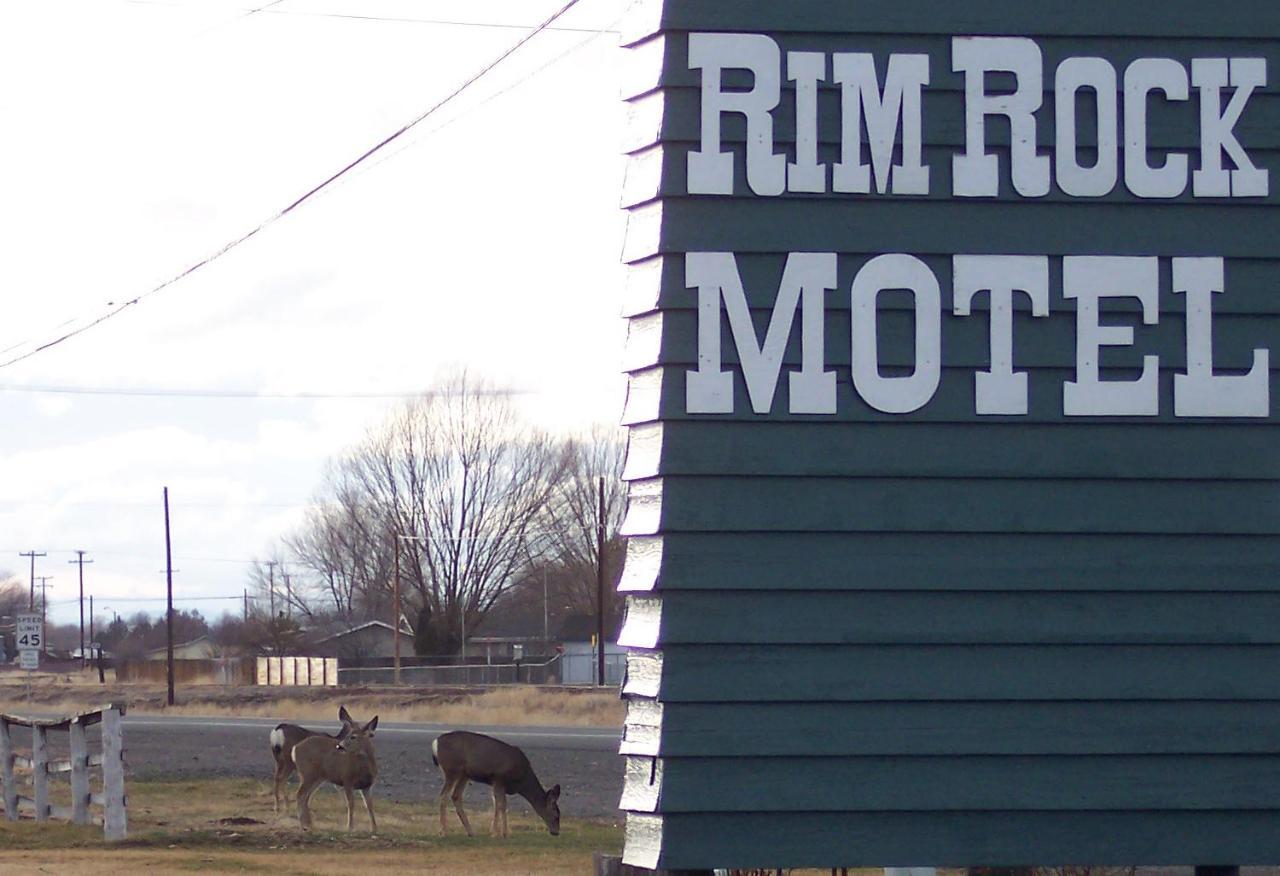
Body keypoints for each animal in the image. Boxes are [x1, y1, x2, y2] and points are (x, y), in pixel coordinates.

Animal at [430, 727, 560, 840]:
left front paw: (501, 832)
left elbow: (501, 804)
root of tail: (435, 743)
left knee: (456, 796)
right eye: (556, 815)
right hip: (452, 770)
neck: (522, 780)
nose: (556, 832)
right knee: (443, 795)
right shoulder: (499, 778)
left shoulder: (498, 783)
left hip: (464, 775)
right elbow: (500, 804)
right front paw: (497, 833)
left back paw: (471, 832)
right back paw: (443, 832)